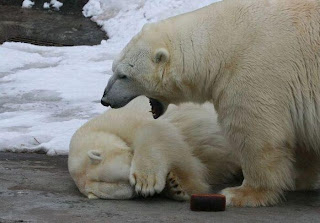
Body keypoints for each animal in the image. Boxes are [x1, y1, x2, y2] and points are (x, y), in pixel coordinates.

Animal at [69, 96, 240, 200]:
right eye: (112, 187)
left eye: (107, 181)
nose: (133, 189)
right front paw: (174, 186)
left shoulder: (129, 119)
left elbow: (158, 133)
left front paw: (146, 182)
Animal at [101, 0, 320, 207]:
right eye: (113, 69)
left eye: (124, 75)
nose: (105, 99)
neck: (224, 42)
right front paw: (299, 179)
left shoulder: (254, 74)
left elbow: (255, 134)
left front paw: (242, 193)